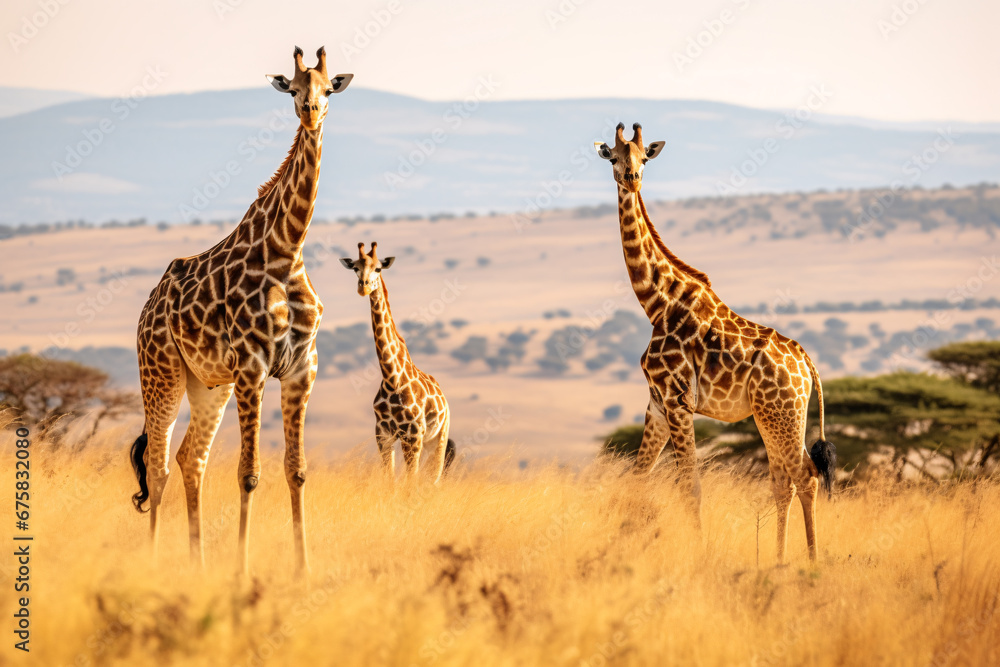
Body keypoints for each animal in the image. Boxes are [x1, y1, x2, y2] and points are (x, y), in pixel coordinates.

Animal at [129, 46, 353, 575]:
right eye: (293, 89)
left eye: (328, 89)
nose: (311, 112)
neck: (286, 249)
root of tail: (146, 312)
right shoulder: (252, 367)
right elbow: (249, 474)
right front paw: (242, 570)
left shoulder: (301, 368)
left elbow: (297, 471)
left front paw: (303, 569)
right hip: (161, 373)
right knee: (158, 463)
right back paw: (155, 561)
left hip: (208, 383)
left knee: (191, 458)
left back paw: (198, 562)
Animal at [339, 243, 456, 482]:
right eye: (355, 267)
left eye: (378, 268)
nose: (363, 287)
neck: (392, 377)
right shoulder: (383, 435)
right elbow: (391, 480)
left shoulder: (412, 434)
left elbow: (410, 481)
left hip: (438, 437)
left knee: (434, 477)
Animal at [594, 122, 836, 563]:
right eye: (615, 157)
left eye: (643, 157)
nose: (632, 178)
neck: (656, 302)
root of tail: (806, 364)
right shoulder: (657, 403)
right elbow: (637, 478)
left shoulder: (677, 400)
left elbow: (689, 486)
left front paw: (698, 554)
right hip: (777, 416)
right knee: (786, 479)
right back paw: (779, 560)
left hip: (780, 414)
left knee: (804, 475)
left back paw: (809, 562)